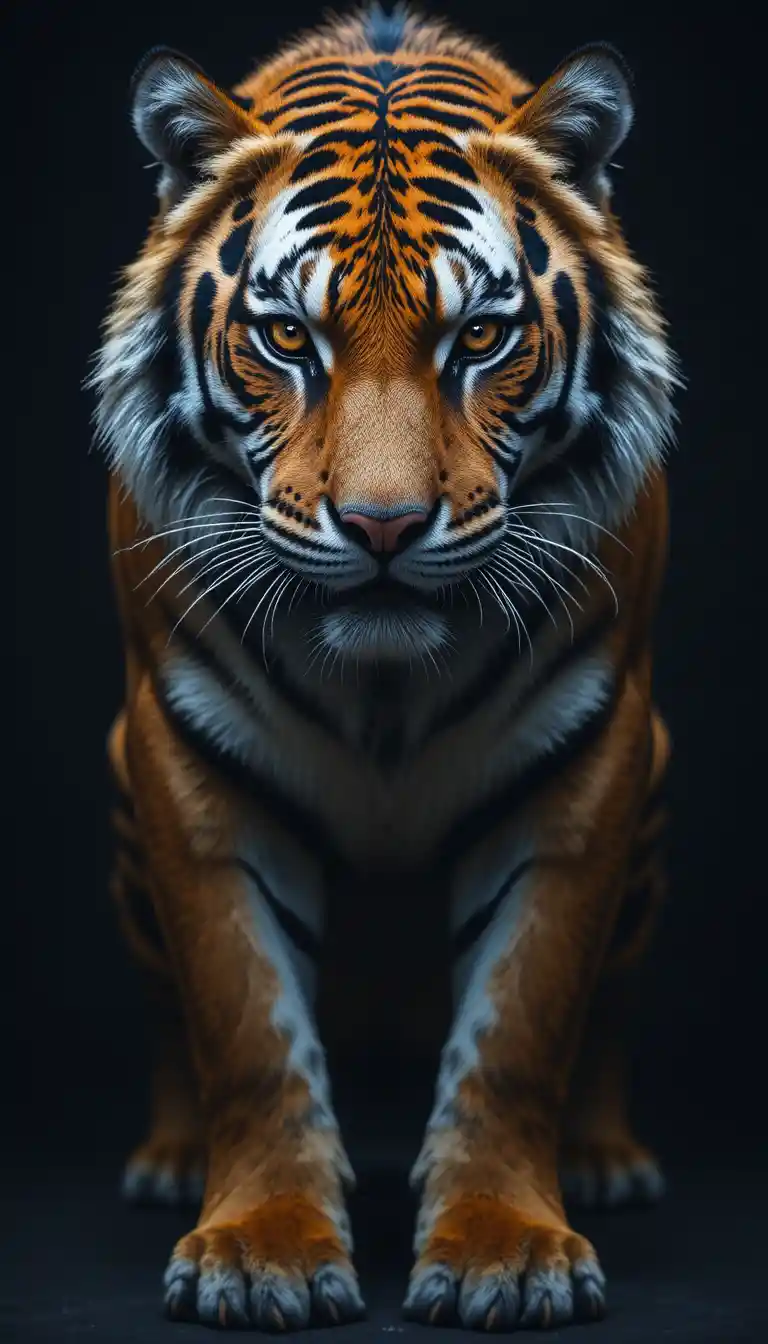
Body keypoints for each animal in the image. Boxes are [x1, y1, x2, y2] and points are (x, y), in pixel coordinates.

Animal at [91, 0, 678, 1331]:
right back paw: (166, 1159)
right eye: (286, 338)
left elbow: (521, 1030)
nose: (383, 526)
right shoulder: (189, 764)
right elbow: (245, 1032)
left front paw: (507, 1249)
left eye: (482, 338)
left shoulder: (586, 764)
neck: (384, 694)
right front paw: (258, 1248)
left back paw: (607, 1159)